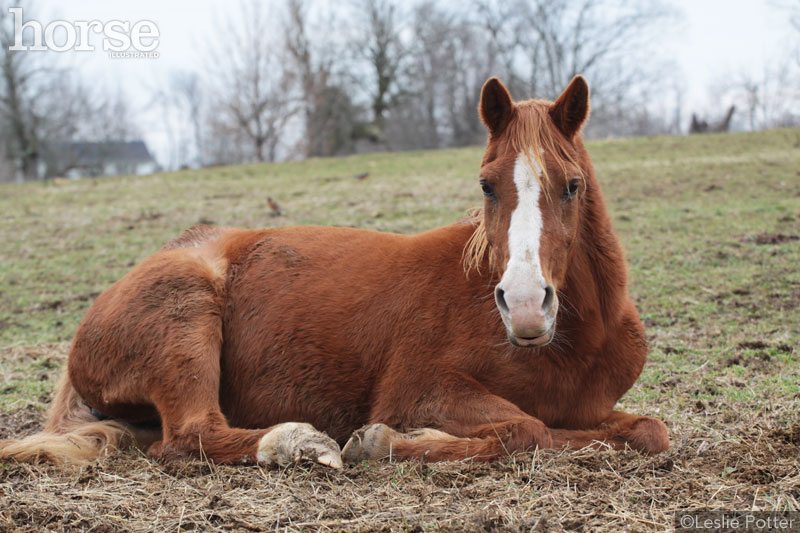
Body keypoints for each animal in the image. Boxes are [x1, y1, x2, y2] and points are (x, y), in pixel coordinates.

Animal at [0, 75, 668, 466]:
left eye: (572, 186)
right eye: (486, 185)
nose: (527, 305)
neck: (569, 349)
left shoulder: (592, 410)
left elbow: (646, 429)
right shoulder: (420, 389)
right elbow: (525, 428)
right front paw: (387, 441)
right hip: (184, 319)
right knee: (191, 435)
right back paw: (295, 441)